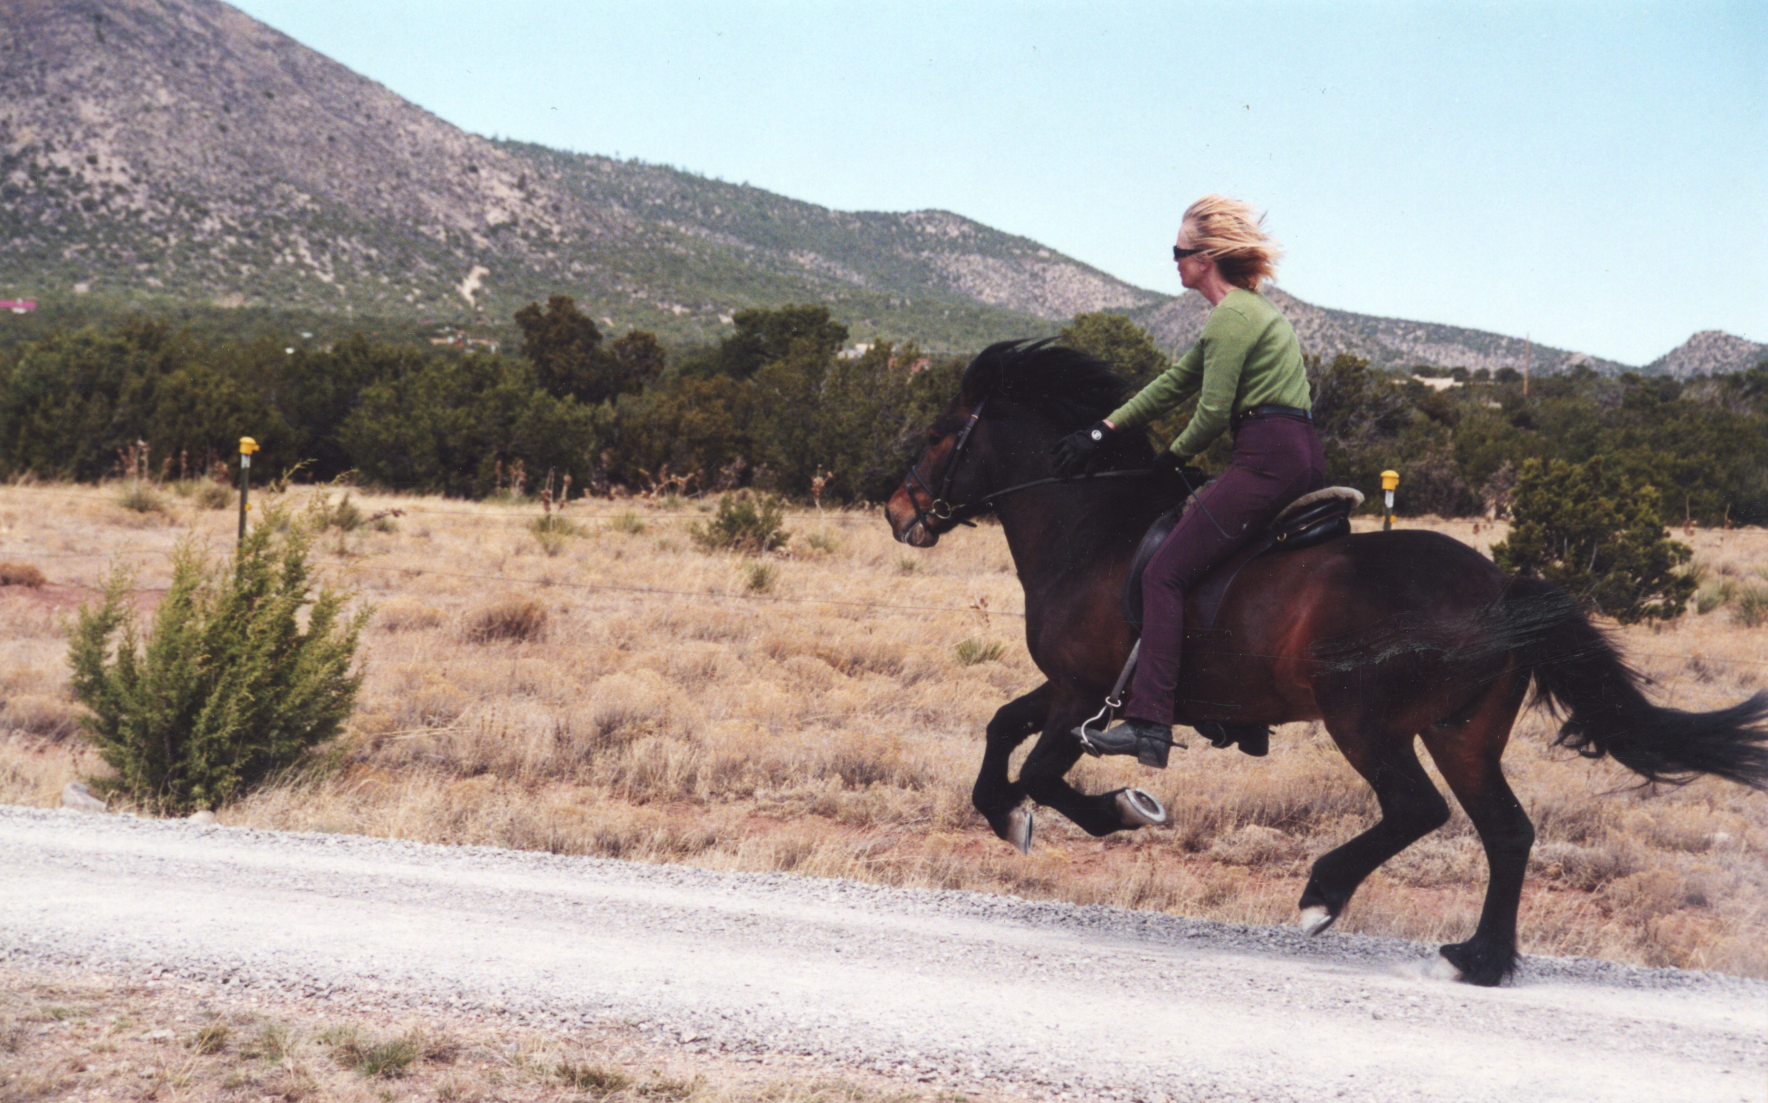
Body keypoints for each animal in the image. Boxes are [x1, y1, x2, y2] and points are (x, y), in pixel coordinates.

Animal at [884, 341, 1768, 989]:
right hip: (1461, 733)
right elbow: (1002, 731)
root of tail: (1501, 587)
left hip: (1364, 719)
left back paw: (1323, 894)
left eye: (936, 432)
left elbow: (1041, 770)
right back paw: (1480, 958)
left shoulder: (1080, 694)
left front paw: (1122, 808)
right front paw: (1006, 813)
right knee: (1508, 830)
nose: (898, 511)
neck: (1092, 528)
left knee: (1417, 809)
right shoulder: (1075, 687)